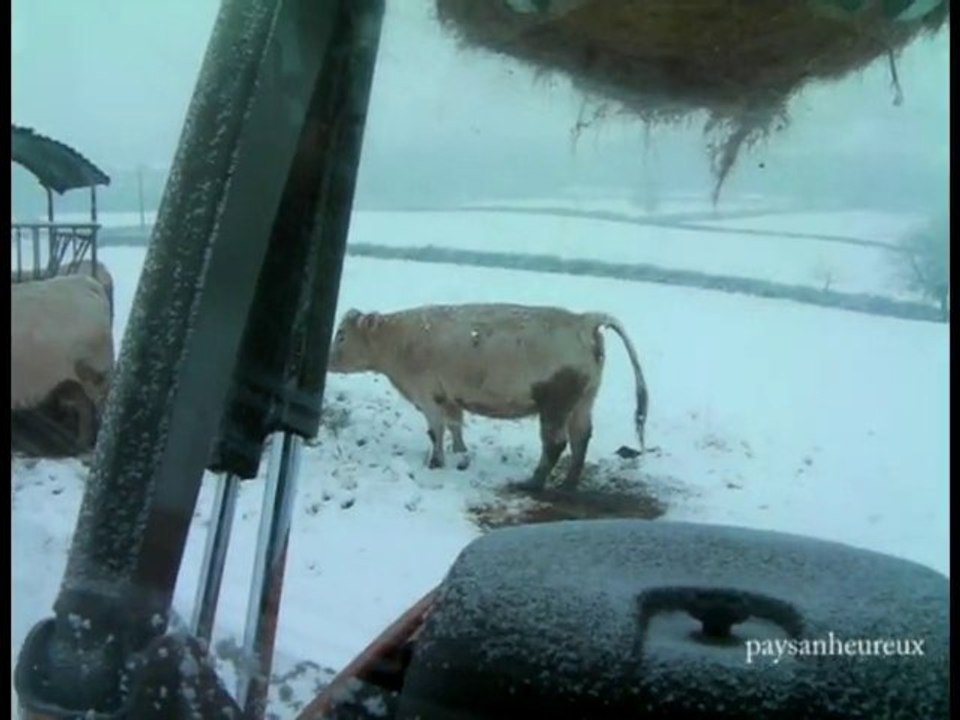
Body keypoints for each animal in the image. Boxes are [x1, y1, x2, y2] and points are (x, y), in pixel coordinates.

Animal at [11, 273, 115, 456]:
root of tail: (87, 283)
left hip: (96, 370)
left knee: (100, 404)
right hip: (72, 379)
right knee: (84, 407)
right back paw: (81, 442)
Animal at [327, 303, 648, 491]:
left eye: (341, 334)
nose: (327, 361)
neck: (399, 341)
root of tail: (584, 320)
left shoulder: (427, 395)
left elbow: (435, 431)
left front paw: (436, 463)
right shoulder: (450, 397)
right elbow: (455, 425)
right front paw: (461, 453)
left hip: (556, 403)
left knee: (556, 443)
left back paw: (532, 483)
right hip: (583, 399)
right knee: (581, 437)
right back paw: (568, 485)